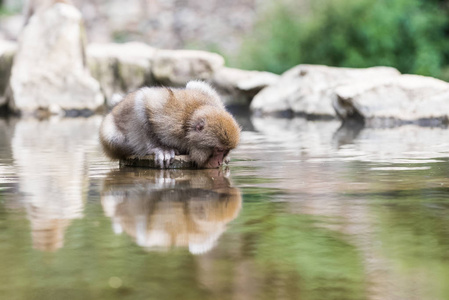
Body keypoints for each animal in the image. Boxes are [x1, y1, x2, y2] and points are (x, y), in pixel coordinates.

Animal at [99, 80, 240, 169]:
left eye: (225, 151)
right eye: (219, 150)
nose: (219, 161)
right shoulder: (170, 120)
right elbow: (142, 100)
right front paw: (160, 149)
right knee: (114, 139)